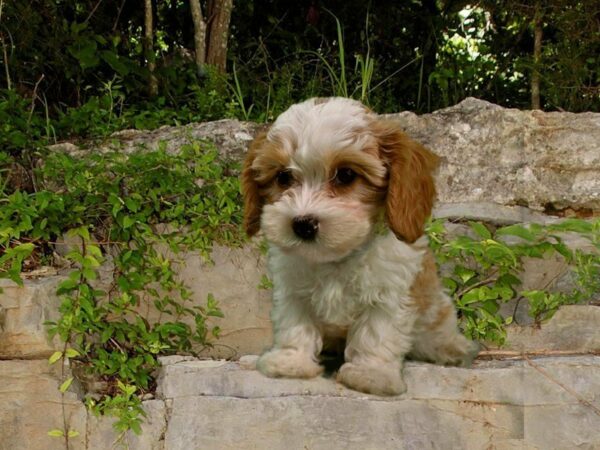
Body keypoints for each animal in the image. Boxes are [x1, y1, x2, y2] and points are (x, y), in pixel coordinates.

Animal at [239, 97, 478, 394]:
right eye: (283, 177)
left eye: (346, 175)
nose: (303, 224)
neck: (337, 258)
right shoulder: (292, 289)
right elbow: (295, 323)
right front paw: (291, 361)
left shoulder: (389, 294)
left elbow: (377, 333)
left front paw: (371, 374)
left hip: (435, 308)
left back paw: (452, 348)